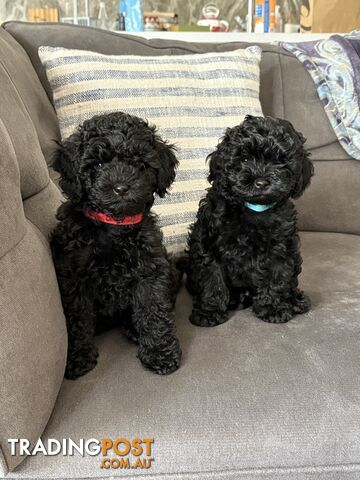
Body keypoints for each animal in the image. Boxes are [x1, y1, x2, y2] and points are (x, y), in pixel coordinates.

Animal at [50, 111, 181, 378]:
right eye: (98, 165)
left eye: (140, 165)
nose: (121, 188)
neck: (114, 226)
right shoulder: (73, 276)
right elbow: (77, 318)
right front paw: (78, 357)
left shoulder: (150, 270)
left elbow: (154, 309)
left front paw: (160, 354)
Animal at [187, 116, 314, 326]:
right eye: (244, 159)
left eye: (280, 162)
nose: (261, 182)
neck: (254, 207)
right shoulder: (208, 242)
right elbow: (211, 278)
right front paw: (209, 311)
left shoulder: (281, 246)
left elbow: (277, 276)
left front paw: (273, 308)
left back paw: (295, 300)